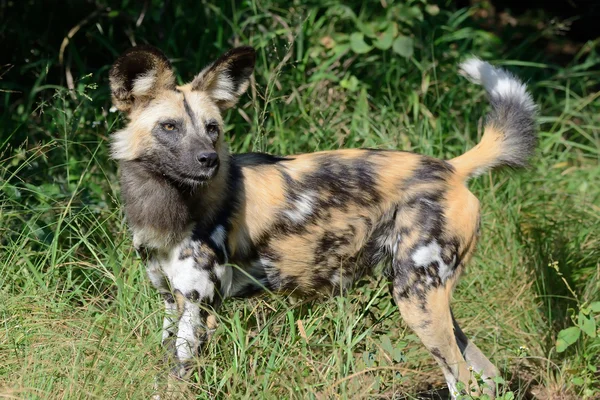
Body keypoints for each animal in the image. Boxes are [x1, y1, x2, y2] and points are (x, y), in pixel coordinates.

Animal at [109, 44, 540, 396]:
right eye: (169, 127)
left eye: (212, 128)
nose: (209, 160)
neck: (167, 206)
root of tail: (452, 168)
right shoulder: (172, 304)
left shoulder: (199, 312)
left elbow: (175, 381)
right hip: (426, 298)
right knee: (486, 376)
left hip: (416, 299)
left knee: (462, 381)